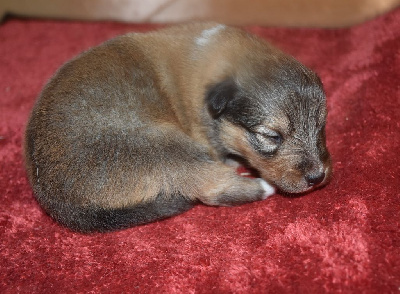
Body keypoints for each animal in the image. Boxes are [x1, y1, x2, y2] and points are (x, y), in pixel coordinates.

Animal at [24, 23, 332, 232]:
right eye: (271, 136)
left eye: (320, 126)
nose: (318, 177)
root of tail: (58, 202)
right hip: (164, 143)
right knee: (211, 188)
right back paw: (260, 187)